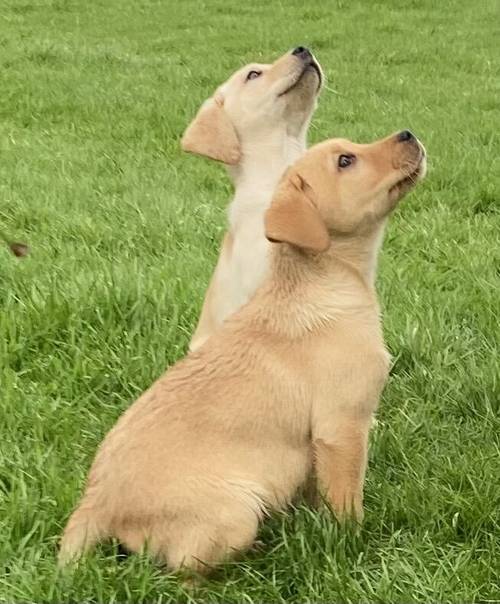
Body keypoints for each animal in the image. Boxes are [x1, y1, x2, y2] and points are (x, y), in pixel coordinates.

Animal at [58, 130, 426, 572]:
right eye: (345, 161)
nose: (408, 133)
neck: (320, 281)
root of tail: (94, 504)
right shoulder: (342, 427)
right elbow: (345, 499)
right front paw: (351, 543)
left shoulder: (317, 442)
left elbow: (317, 489)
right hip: (235, 511)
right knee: (183, 569)